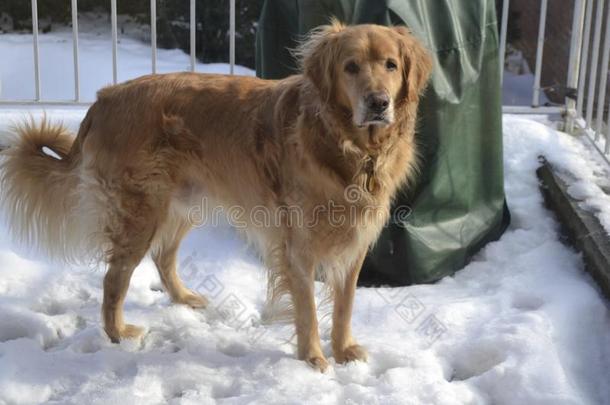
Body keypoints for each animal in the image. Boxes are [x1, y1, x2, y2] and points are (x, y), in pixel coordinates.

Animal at [0, 21, 430, 370]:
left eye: (391, 65)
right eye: (350, 67)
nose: (378, 103)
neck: (349, 147)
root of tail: (103, 98)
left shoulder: (355, 243)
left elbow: (344, 304)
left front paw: (343, 352)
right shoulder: (299, 247)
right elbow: (308, 308)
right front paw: (313, 359)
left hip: (181, 205)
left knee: (162, 256)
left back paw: (184, 299)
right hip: (140, 213)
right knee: (114, 279)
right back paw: (117, 332)